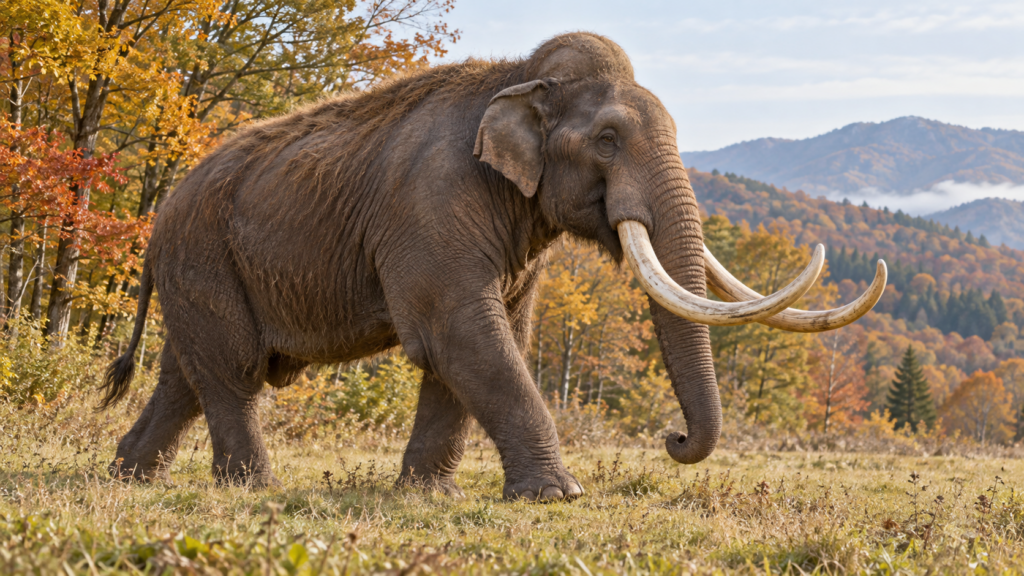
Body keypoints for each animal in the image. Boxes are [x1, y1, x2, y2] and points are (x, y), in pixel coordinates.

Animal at [99, 32, 885, 500]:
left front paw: (427, 496)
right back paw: (251, 489)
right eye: (607, 139)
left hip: (201, 272)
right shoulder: (431, 209)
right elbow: (460, 332)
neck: (519, 79)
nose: (673, 437)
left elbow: (484, 336)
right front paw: (558, 496)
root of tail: (157, 222)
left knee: (186, 376)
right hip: (204, 260)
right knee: (231, 372)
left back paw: (129, 477)